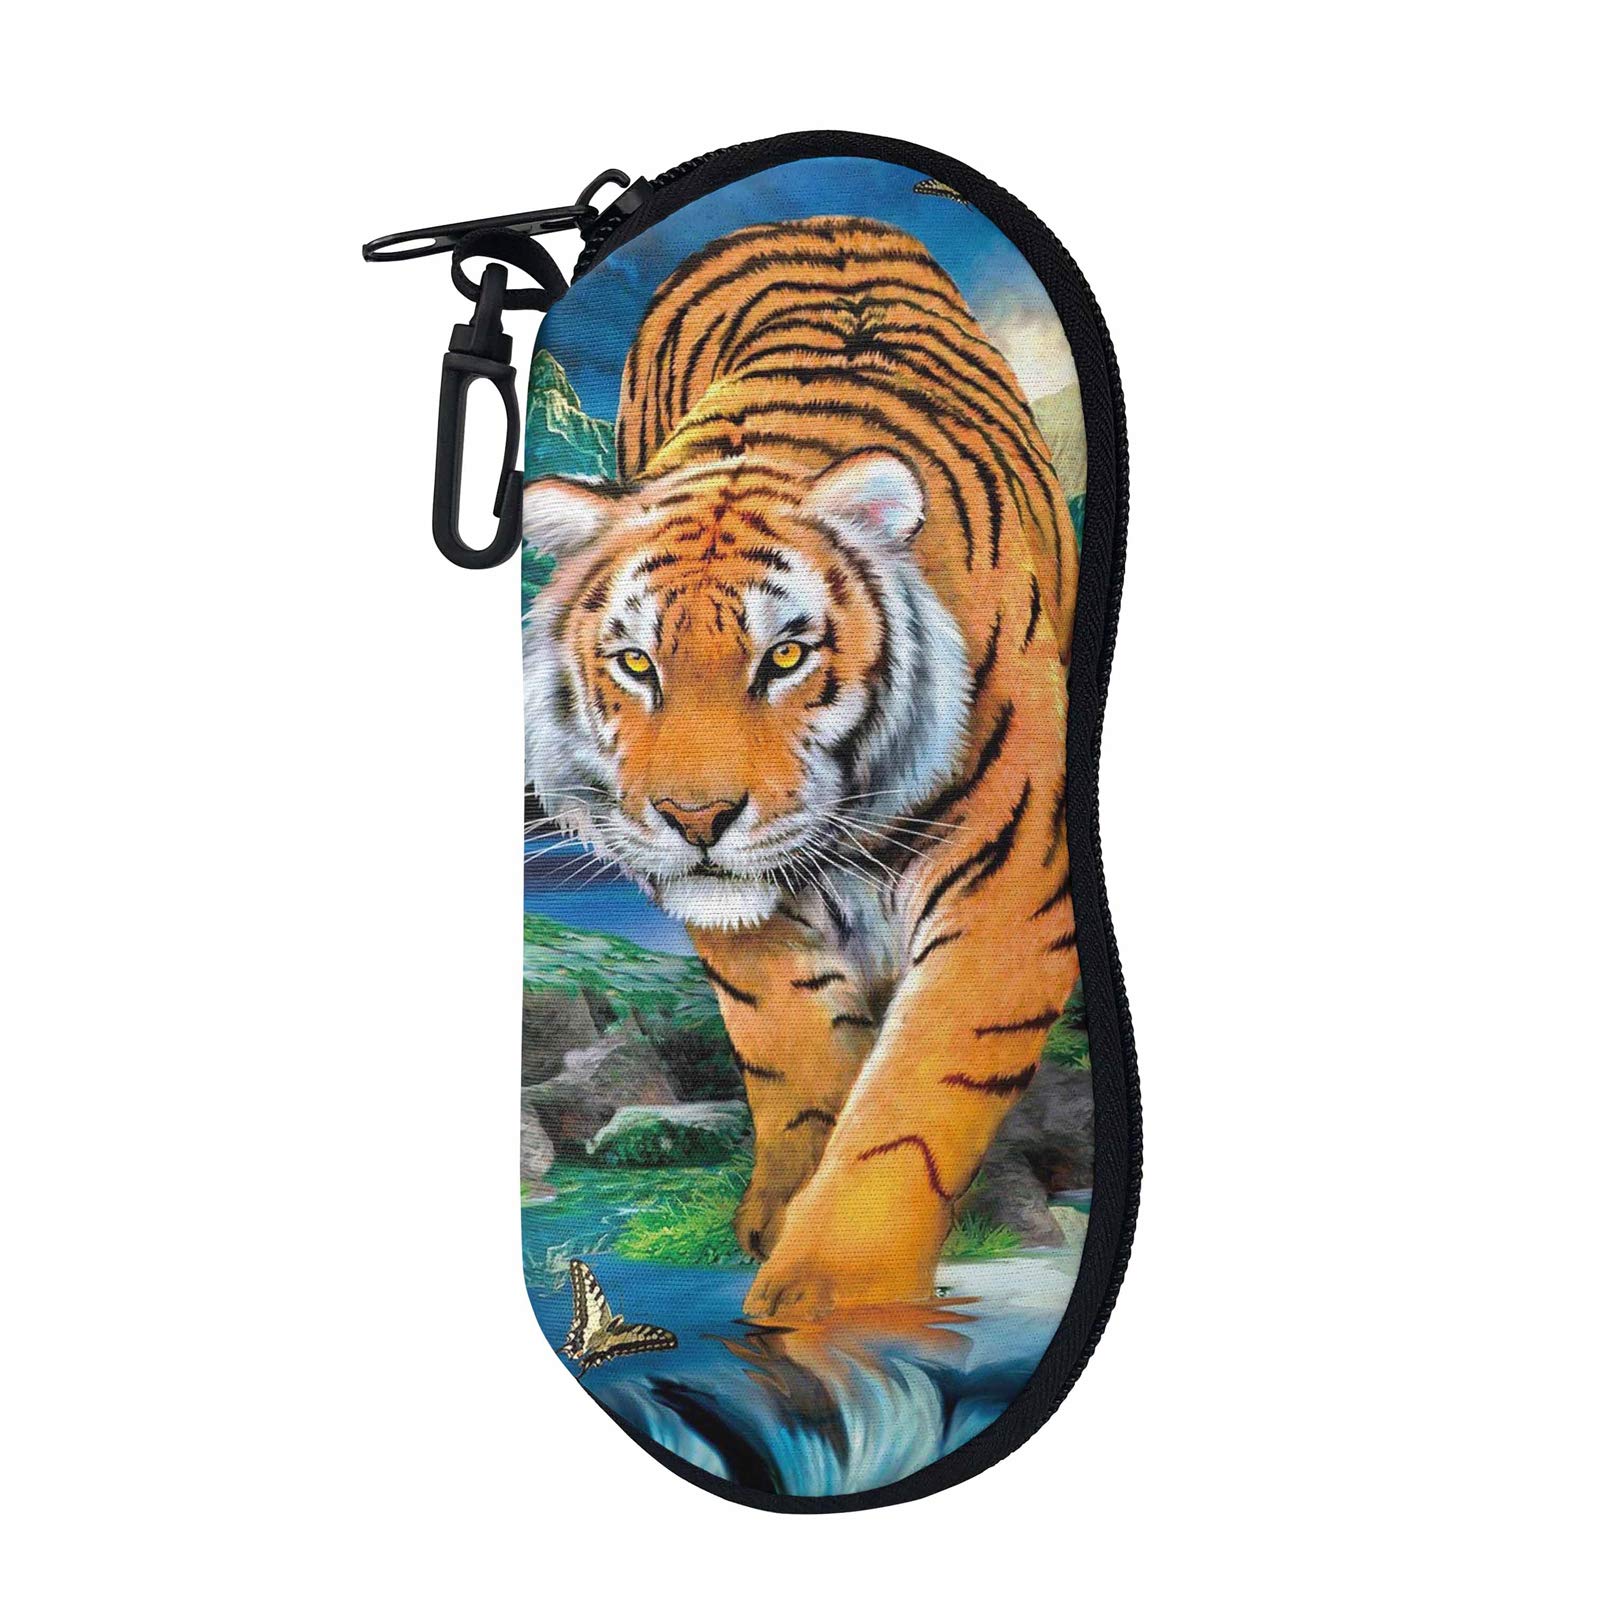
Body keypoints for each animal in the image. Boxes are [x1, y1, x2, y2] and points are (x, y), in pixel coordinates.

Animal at [523, 218, 1080, 1322]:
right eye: (636, 664)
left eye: (783, 657)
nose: (694, 817)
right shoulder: (750, 929)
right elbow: (796, 1061)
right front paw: (780, 1223)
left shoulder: (1007, 905)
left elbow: (909, 1108)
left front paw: (828, 1294)